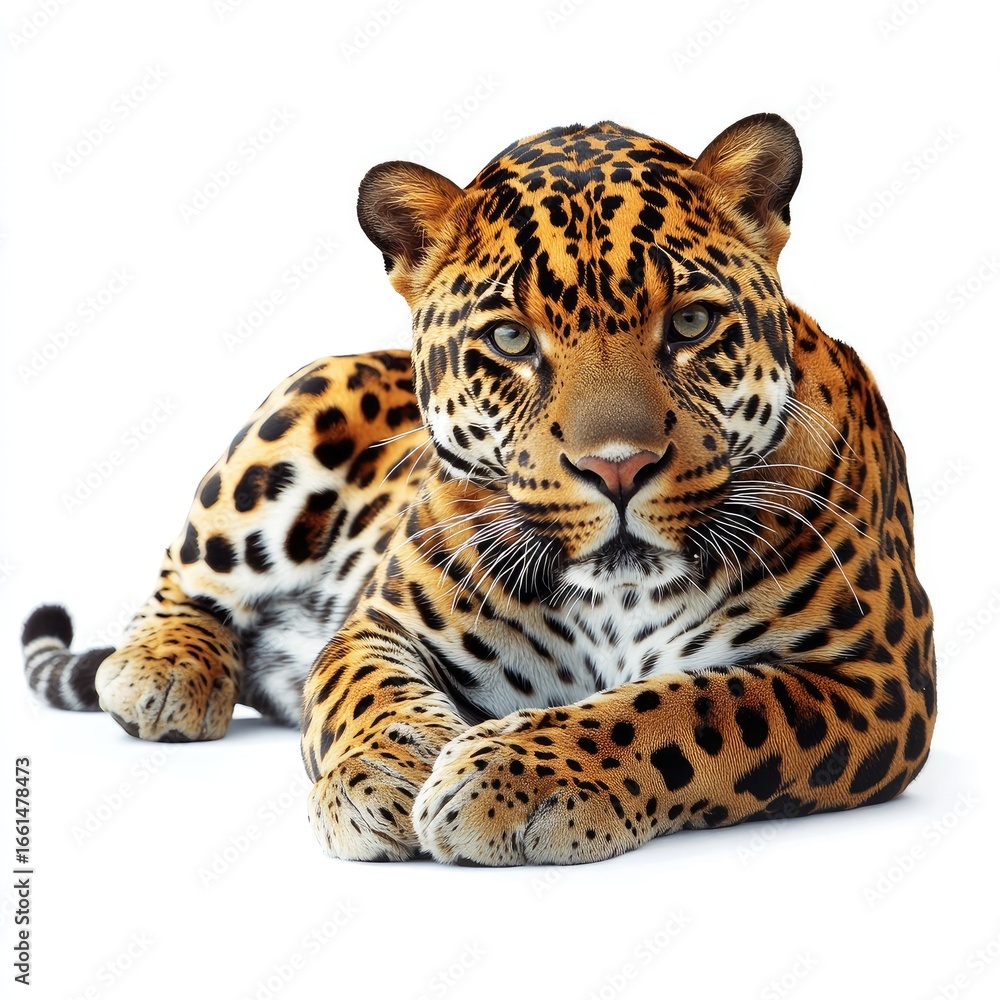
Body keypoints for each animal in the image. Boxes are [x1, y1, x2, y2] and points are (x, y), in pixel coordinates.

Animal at [22, 113, 936, 866]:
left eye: (690, 324)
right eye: (510, 340)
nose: (617, 468)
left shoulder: (877, 675)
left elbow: (691, 707)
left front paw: (514, 777)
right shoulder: (380, 624)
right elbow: (367, 693)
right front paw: (382, 775)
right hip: (304, 406)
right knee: (188, 573)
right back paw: (166, 671)